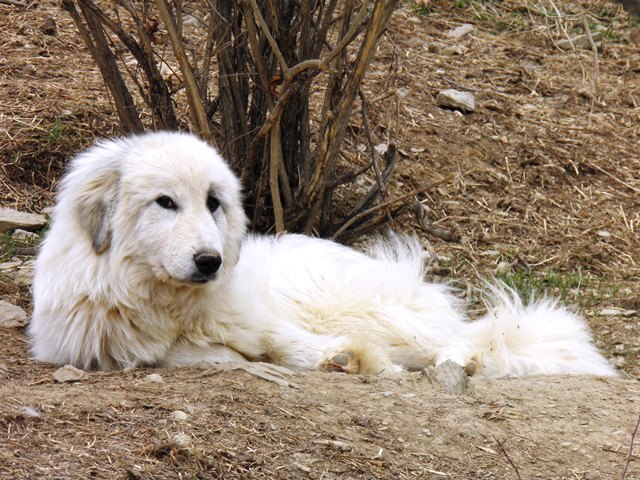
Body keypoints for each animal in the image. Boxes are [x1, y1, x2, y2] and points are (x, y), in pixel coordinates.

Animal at [28, 132, 616, 378]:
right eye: (165, 203)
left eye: (213, 202)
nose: (210, 262)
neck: (166, 303)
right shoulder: (124, 350)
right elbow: (200, 355)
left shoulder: (266, 319)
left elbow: (283, 343)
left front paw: (340, 358)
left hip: (362, 306)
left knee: (468, 341)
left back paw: (458, 360)